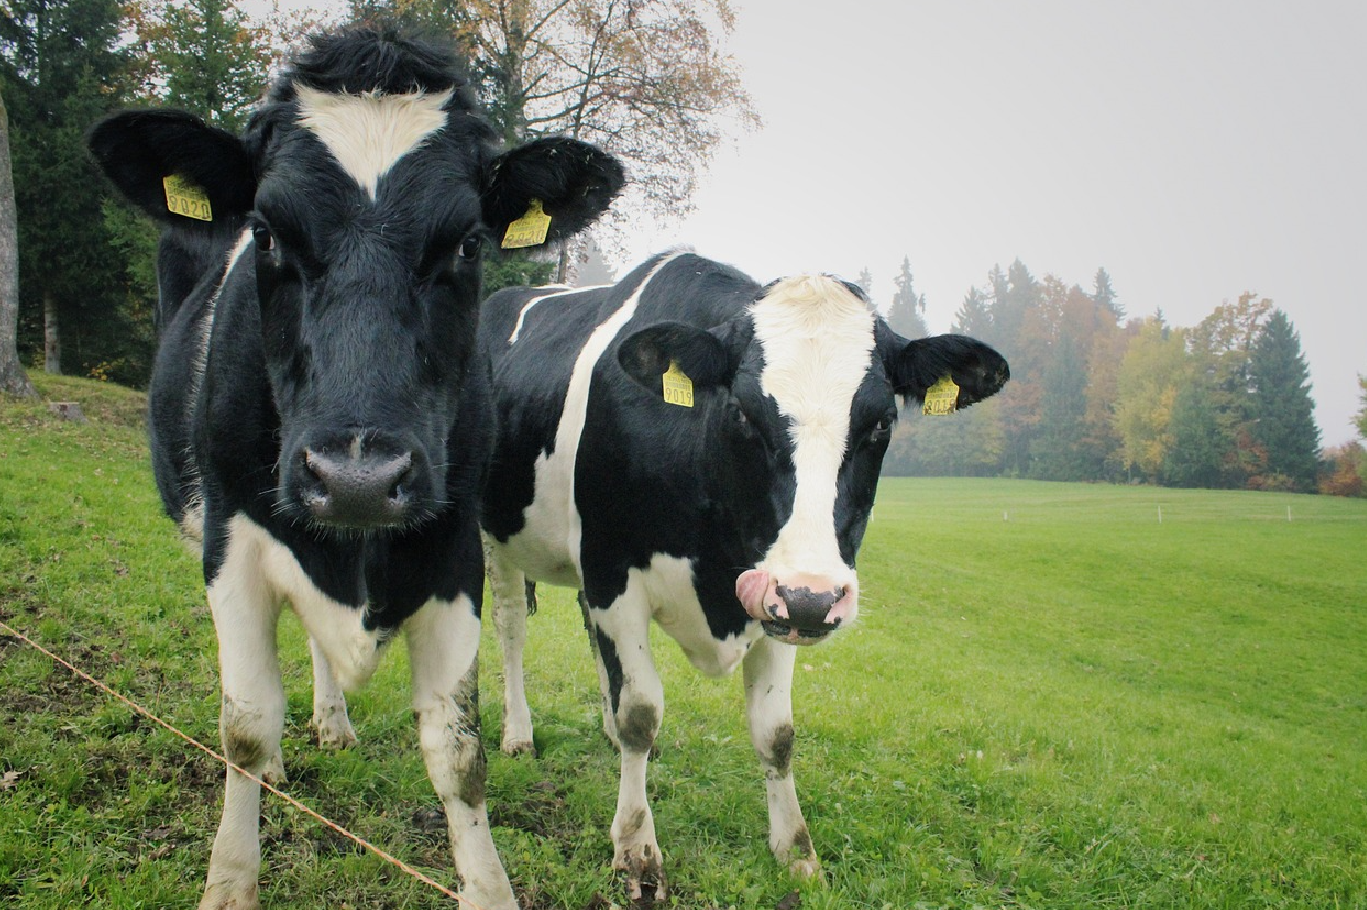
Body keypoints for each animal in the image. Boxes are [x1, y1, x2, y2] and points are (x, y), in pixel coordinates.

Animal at [93, 28, 626, 907]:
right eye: (267, 234)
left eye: (467, 243)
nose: (356, 480)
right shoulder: (231, 545)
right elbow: (243, 726)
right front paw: (230, 880)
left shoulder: (452, 548)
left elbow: (458, 752)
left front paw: (486, 885)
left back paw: (333, 721)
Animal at [478, 248, 1006, 890]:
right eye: (743, 412)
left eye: (881, 422)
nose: (815, 598)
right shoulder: (613, 573)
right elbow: (642, 712)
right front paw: (636, 848)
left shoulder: (778, 600)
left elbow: (776, 733)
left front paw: (796, 849)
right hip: (493, 534)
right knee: (510, 627)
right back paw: (518, 733)